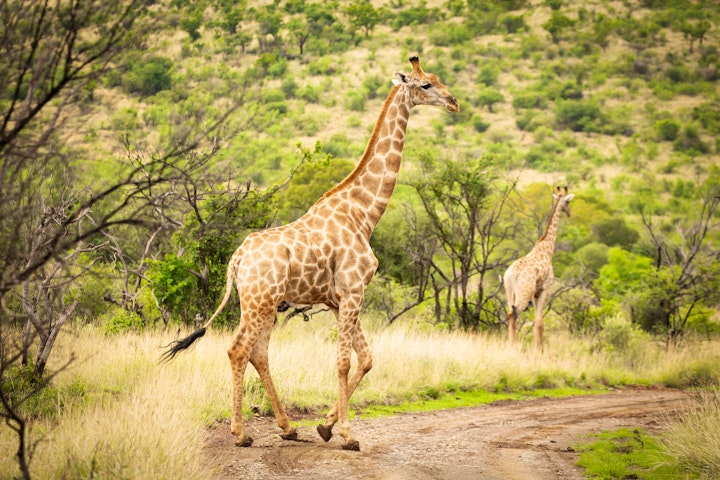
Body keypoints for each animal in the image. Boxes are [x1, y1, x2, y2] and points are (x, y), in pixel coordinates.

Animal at [163, 58, 458, 452]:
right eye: (426, 84)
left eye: (438, 79)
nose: (454, 102)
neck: (363, 214)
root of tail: (237, 258)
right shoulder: (353, 291)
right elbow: (345, 361)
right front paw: (347, 434)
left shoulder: (336, 299)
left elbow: (366, 358)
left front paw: (325, 427)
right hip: (258, 301)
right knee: (238, 350)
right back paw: (241, 433)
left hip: (264, 305)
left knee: (258, 352)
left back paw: (288, 428)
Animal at [504, 187, 576, 352]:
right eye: (568, 202)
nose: (569, 213)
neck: (547, 250)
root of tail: (512, 274)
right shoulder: (545, 289)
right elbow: (540, 321)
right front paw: (540, 350)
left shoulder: (536, 293)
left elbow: (537, 321)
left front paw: (538, 347)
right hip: (524, 292)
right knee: (515, 313)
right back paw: (514, 345)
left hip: (509, 291)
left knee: (510, 312)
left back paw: (510, 344)